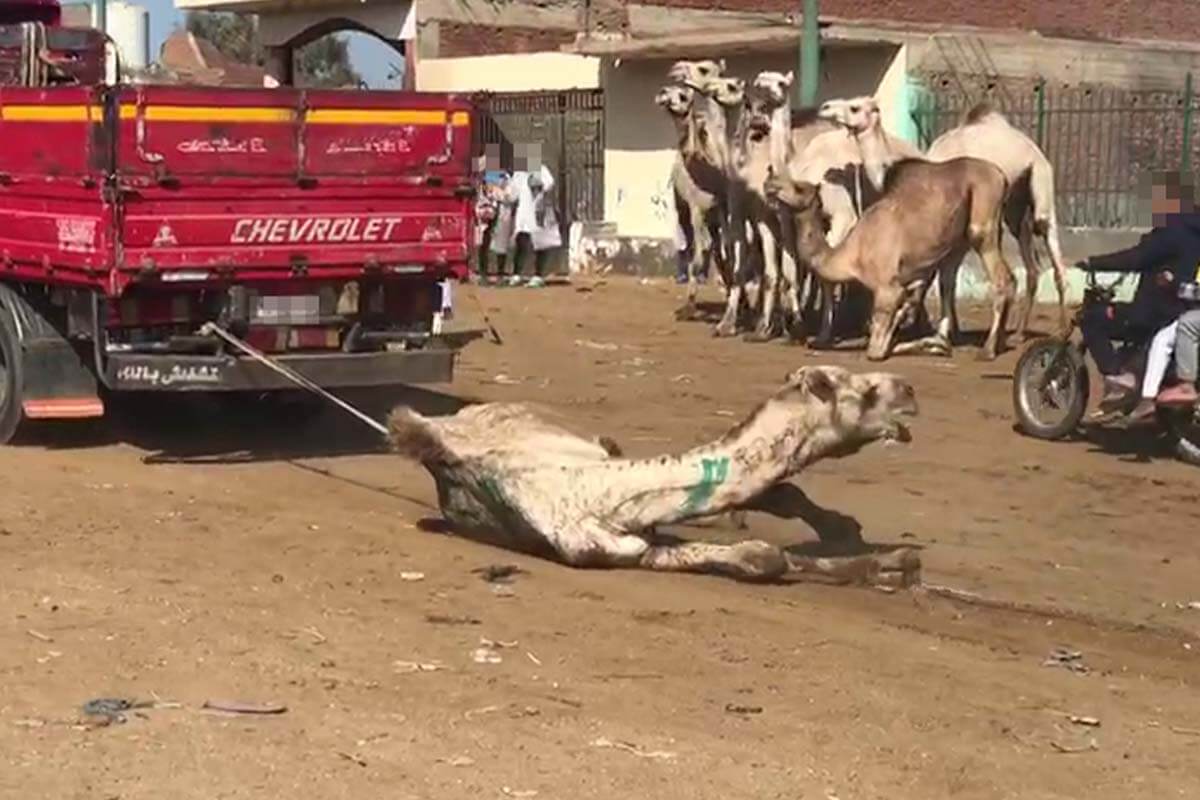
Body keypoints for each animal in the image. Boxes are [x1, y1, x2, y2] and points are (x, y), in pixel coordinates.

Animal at [388, 367, 921, 585]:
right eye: (866, 392)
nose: (910, 390)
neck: (599, 493)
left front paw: (891, 561)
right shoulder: (613, 551)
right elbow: (763, 558)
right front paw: (885, 565)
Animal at [768, 157, 1012, 362]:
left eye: (799, 188)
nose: (771, 184)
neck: (852, 254)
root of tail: (1000, 176)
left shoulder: (886, 288)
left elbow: (876, 350)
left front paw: (931, 344)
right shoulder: (903, 284)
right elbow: (896, 325)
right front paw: (935, 344)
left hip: (982, 224)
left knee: (1002, 278)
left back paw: (988, 350)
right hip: (958, 243)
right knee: (951, 281)